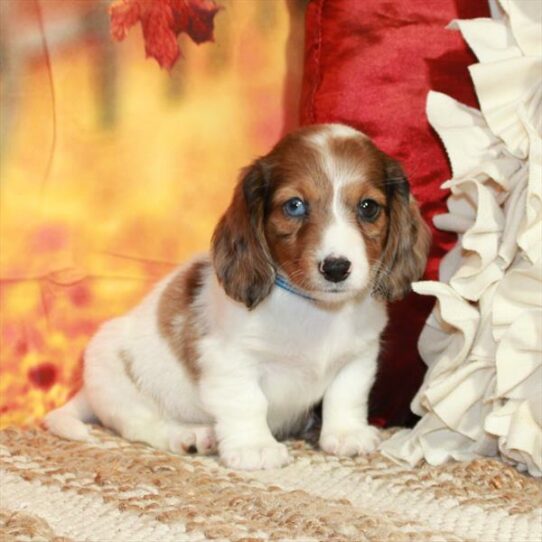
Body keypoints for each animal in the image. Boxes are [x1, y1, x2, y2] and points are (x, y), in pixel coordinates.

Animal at [44, 124, 432, 472]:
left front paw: (346, 434)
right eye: (294, 206)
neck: (316, 309)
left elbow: (346, 395)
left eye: (368, 207)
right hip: (116, 377)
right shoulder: (229, 361)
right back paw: (187, 436)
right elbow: (248, 403)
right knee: (141, 425)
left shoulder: (359, 356)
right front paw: (254, 447)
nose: (336, 268)